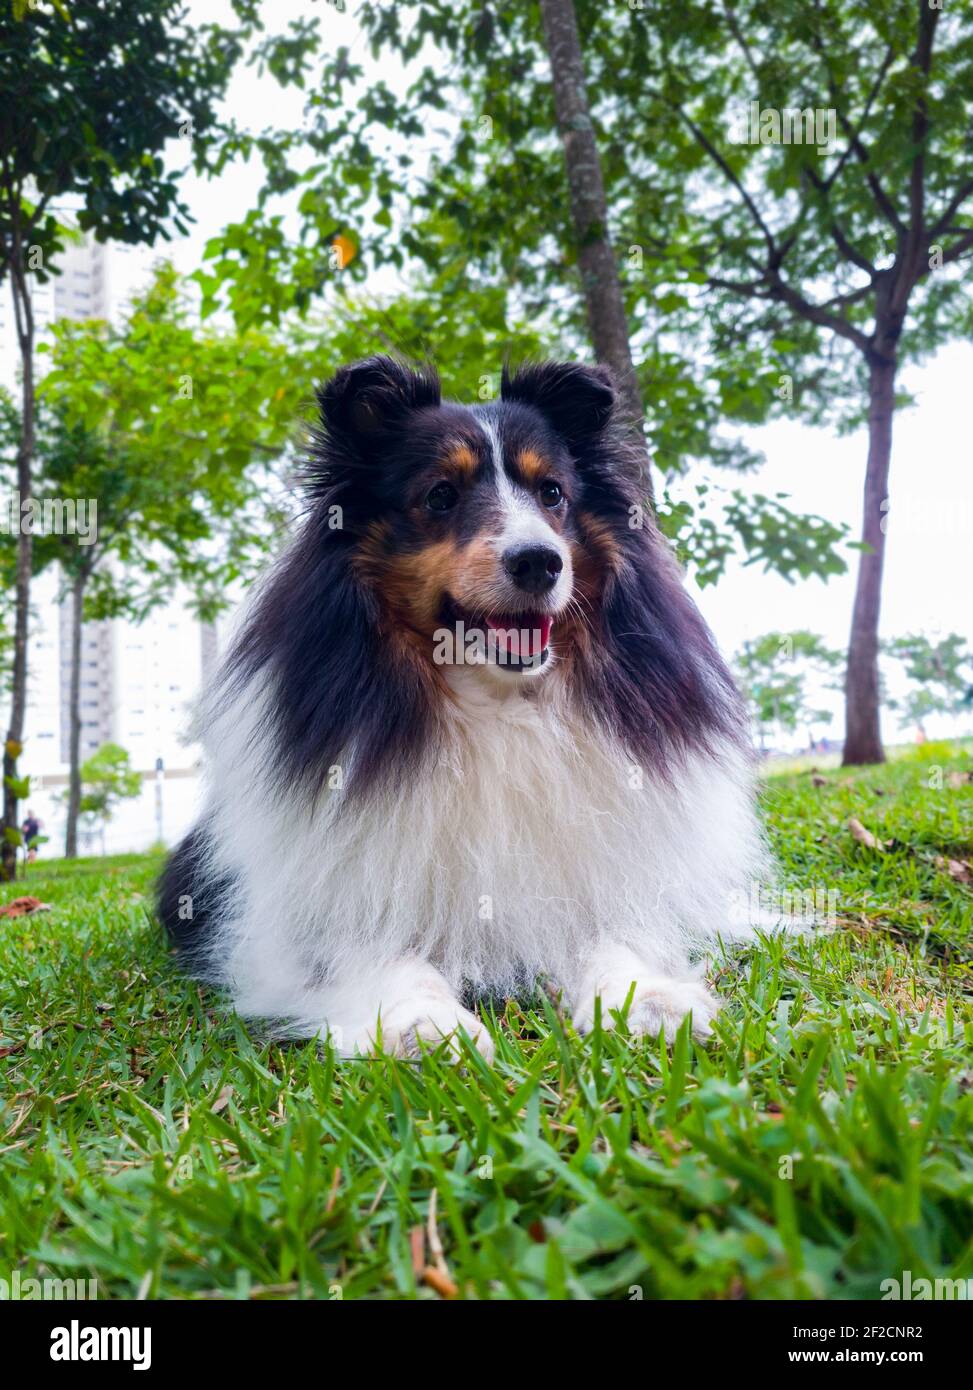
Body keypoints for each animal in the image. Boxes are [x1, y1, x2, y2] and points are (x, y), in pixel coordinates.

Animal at [159, 353, 767, 1056]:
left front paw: (649, 1001)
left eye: (552, 493)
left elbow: (614, 929)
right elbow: (377, 953)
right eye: (440, 496)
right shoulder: (320, 911)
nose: (539, 562)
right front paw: (423, 1026)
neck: (496, 704)